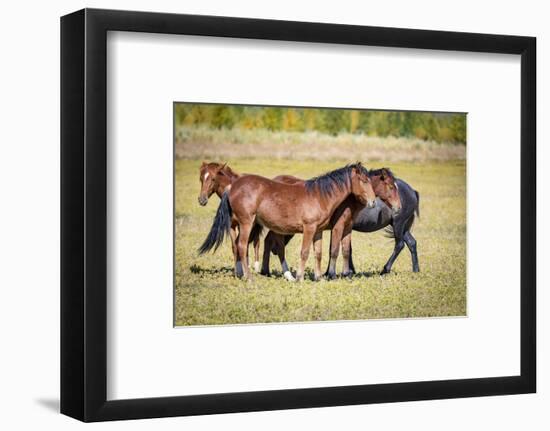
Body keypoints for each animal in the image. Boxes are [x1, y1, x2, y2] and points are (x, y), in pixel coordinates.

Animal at [202, 164, 380, 282]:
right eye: (363, 180)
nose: (372, 202)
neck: (319, 196)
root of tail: (232, 186)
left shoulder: (318, 231)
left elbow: (318, 253)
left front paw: (318, 278)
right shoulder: (309, 228)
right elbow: (305, 252)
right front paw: (300, 277)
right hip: (246, 222)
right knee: (242, 245)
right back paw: (249, 277)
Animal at [260, 169, 404, 280]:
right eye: (391, 187)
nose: (399, 207)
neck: (348, 200)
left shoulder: (347, 227)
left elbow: (345, 250)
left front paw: (346, 274)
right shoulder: (337, 226)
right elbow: (334, 250)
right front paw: (331, 275)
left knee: (268, 241)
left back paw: (265, 271)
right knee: (277, 246)